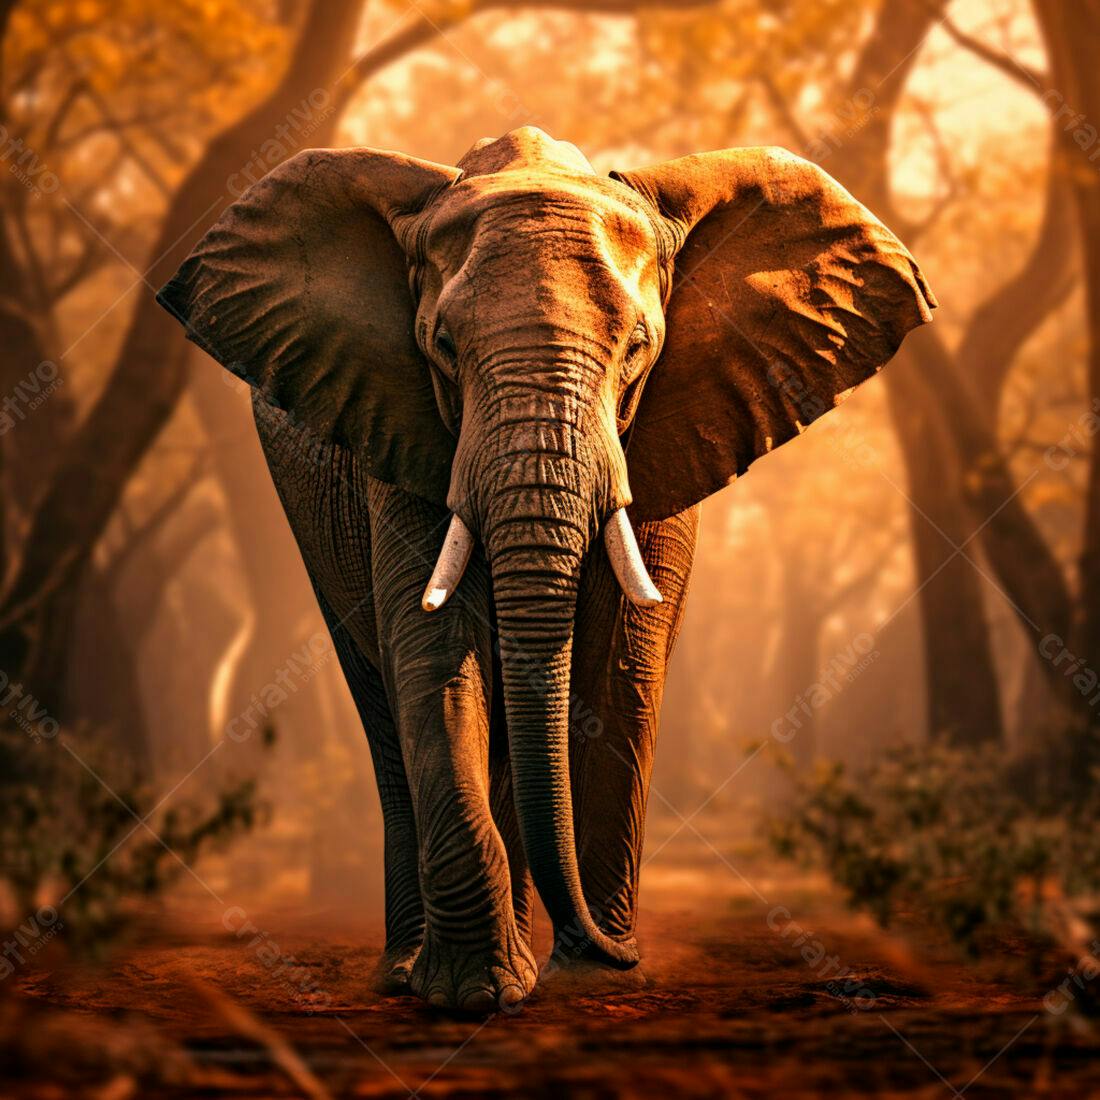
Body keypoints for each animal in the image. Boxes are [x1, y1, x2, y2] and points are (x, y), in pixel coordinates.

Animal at [157, 126, 934, 1013]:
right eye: (442, 348)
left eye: (639, 348)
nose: (617, 954)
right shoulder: (400, 423)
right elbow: (435, 659)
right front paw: (477, 995)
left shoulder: (669, 429)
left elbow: (622, 666)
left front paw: (586, 971)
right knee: (381, 699)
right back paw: (410, 971)